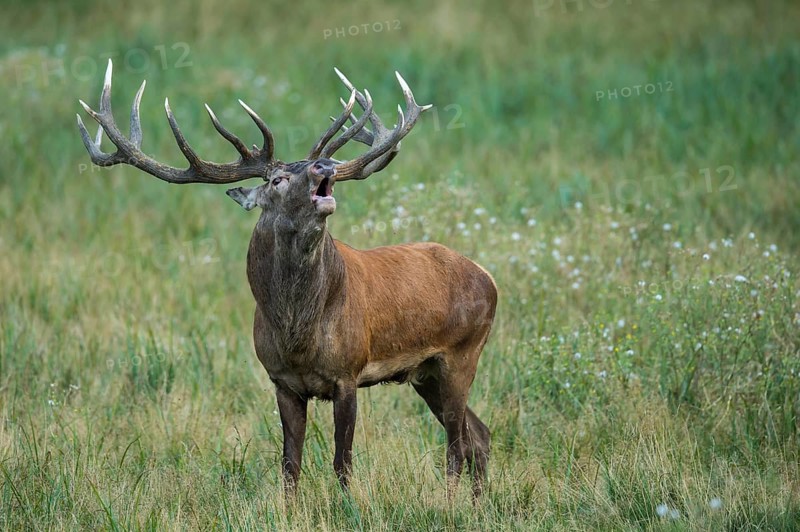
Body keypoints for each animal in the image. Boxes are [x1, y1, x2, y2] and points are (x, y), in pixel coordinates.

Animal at [77, 60, 497, 499]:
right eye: (277, 180)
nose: (325, 166)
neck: (297, 335)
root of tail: (488, 278)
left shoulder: (348, 372)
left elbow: (342, 462)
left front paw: (347, 506)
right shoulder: (282, 380)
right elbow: (289, 464)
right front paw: (290, 507)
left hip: (462, 353)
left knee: (457, 445)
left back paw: (452, 502)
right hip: (426, 373)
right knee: (478, 435)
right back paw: (476, 502)